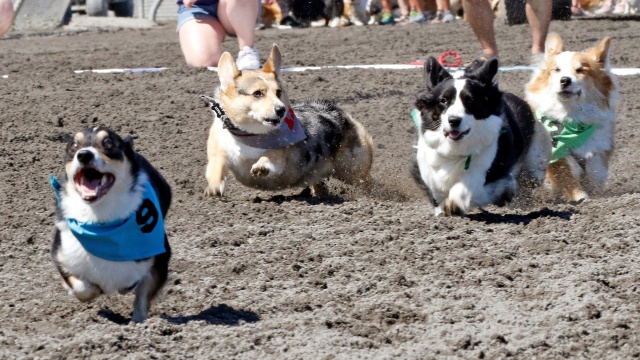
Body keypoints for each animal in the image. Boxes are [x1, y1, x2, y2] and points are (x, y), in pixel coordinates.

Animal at [50, 127, 171, 324]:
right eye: (74, 146)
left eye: (108, 144)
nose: (84, 155)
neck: (99, 220)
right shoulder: (60, 255)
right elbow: (82, 288)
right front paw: (93, 290)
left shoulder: (160, 260)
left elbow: (142, 298)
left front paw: (139, 324)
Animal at [202, 44, 372, 198]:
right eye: (257, 93)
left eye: (278, 92)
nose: (281, 109)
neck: (248, 133)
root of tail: (338, 112)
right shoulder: (219, 152)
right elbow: (215, 168)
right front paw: (214, 188)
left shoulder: (279, 154)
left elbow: (269, 156)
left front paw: (261, 166)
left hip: (352, 169)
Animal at [412, 54, 552, 215]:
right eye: (443, 100)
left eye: (470, 100)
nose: (454, 120)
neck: (455, 149)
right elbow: (435, 187)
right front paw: (442, 208)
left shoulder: (483, 167)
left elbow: (467, 186)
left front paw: (453, 204)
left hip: (536, 162)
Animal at [524, 33, 620, 202]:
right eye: (556, 70)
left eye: (581, 70)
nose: (565, 80)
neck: (571, 117)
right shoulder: (553, 152)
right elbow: (566, 173)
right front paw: (580, 197)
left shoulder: (598, 149)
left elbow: (595, 173)